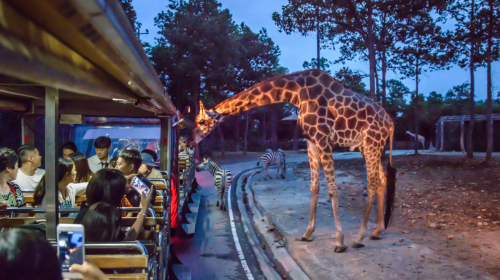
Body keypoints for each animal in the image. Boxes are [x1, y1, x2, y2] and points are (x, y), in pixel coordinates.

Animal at [189, 69, 396, 252]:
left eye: (201, 121)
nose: (191, 141)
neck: (297, 93)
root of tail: (390, 122)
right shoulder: (311, 140)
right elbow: (315, 186)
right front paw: (308, 234)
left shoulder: (323, 139)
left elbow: (332, 188)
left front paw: (339, 242)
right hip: (366, 146)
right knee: (382, 179)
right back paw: (376, 232)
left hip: (372, 143)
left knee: (372, 182)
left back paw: (359, 238)